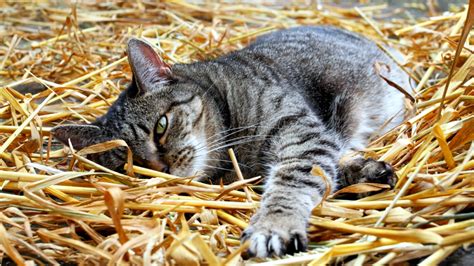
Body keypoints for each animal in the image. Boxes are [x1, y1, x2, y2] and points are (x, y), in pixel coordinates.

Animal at [51, 26, 410, 258]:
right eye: (131, 164)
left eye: (161, 126)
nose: (161, 167)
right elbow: (329, 171)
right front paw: (365, 173)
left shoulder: (299, 131)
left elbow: (293, 179)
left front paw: (274, 224)